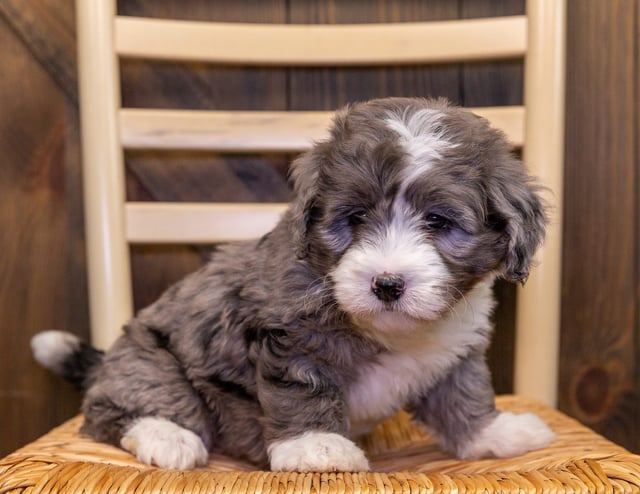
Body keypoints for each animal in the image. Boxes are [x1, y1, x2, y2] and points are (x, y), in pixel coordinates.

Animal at [32, 96, 556, 470]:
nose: (387, 284)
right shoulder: (289, 335)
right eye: (355, 217)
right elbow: (303, 388)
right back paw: (168, 435)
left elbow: (463, 395)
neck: (392, 328)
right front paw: (317, 447)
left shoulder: (455, 355)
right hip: (149, 360)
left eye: (438, 221)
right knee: (118, 407)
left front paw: (494, 433)